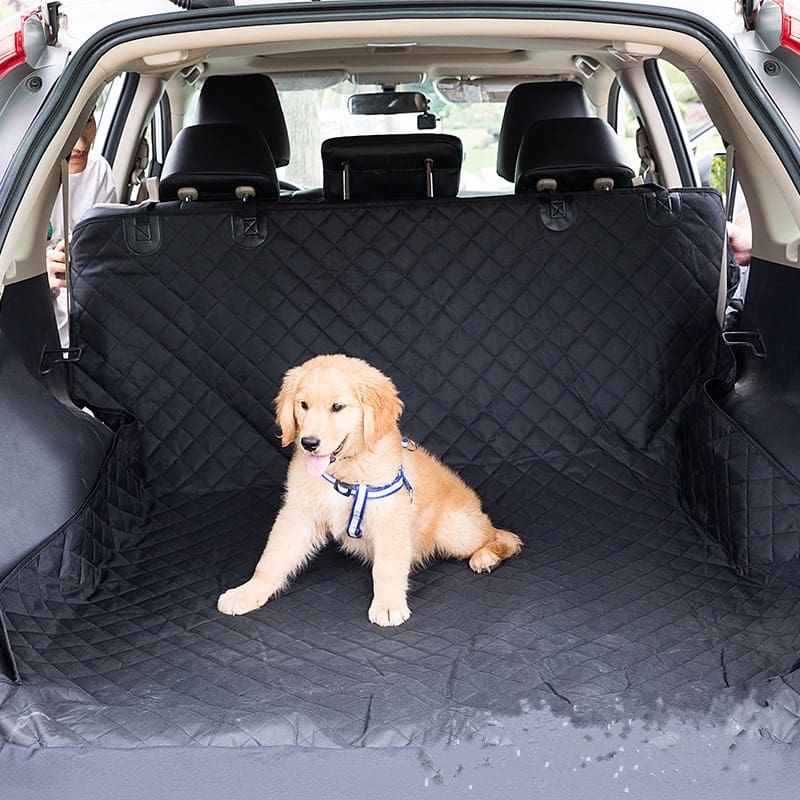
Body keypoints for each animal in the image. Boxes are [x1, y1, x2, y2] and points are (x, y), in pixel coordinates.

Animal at [216, 354, 520, 624]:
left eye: (337, 407)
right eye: (303, 405)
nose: (309, 443)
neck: (345, 470)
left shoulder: (390, 517)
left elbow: (387, 567)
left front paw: (388, 605)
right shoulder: (299, 513)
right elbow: (272, 558)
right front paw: (248, 592)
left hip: (453, 528)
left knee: (500, 535)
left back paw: (487, 556)